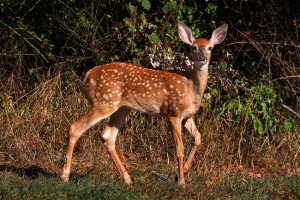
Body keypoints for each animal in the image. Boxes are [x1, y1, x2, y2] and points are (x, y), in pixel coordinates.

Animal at [62, 22, 229, 188]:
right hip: (105, 101)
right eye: (193, 47)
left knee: (107, 136)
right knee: (76, 127)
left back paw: (127, 179)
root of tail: (87, 75)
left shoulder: (187, 116)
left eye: (210, 47)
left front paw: (183, 172)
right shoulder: (173, 112)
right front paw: (181, 181)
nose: (202, 58)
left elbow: (198, 138)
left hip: (122, 108)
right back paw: (65, 176)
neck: (191, 88)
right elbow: (179, 148)